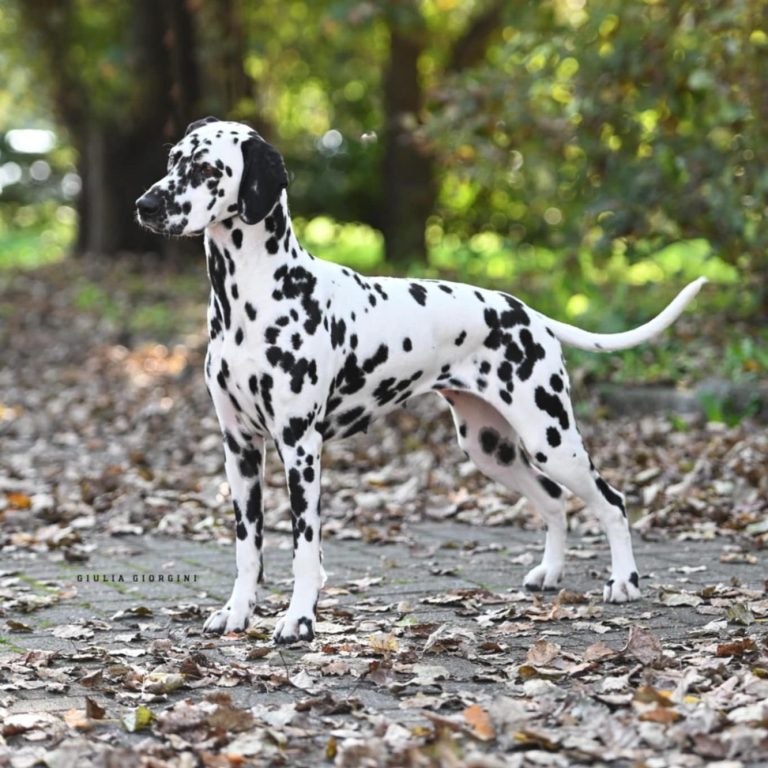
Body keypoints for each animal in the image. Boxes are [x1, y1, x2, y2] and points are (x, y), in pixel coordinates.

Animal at [135, 117, 704, 644]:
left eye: (208, 170)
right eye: (172, 159)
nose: (145, 204)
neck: (251, 298)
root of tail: (528, 314)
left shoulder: (300, 447)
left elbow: (303, 548)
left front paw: (299, 619)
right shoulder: (240, 448)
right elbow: (247, 546)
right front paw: (236, 613)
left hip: (551, 439)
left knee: (612, 501)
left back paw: (625, 581)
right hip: (490, 447)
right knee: (553, 501)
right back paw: (549, 573)